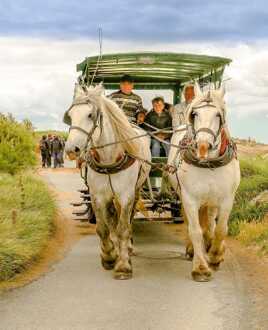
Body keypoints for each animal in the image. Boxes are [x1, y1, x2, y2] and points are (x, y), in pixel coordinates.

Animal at [63, 83, 151, 278]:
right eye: (70, 115)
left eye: (90, 115)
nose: (72, 149)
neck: (109, 158)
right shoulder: (98, 196)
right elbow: (103, 229)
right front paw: (109, 257)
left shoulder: (125, 196)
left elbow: (123, 228)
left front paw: (123, 265)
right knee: (112, 222)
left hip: (136, 190)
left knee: (127, 220)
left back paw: (128, 247)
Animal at [168, 82, 241, 282]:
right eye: (194, 114)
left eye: (218, 115)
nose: (202, 147)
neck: (209, 163)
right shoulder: (189, 198)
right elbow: (195, 230)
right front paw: (200, 267)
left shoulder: (226, 199)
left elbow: (221, 229)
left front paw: (215, 256)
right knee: (193, 224)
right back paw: (192, 249)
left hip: (211, 200)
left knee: (210, 222)